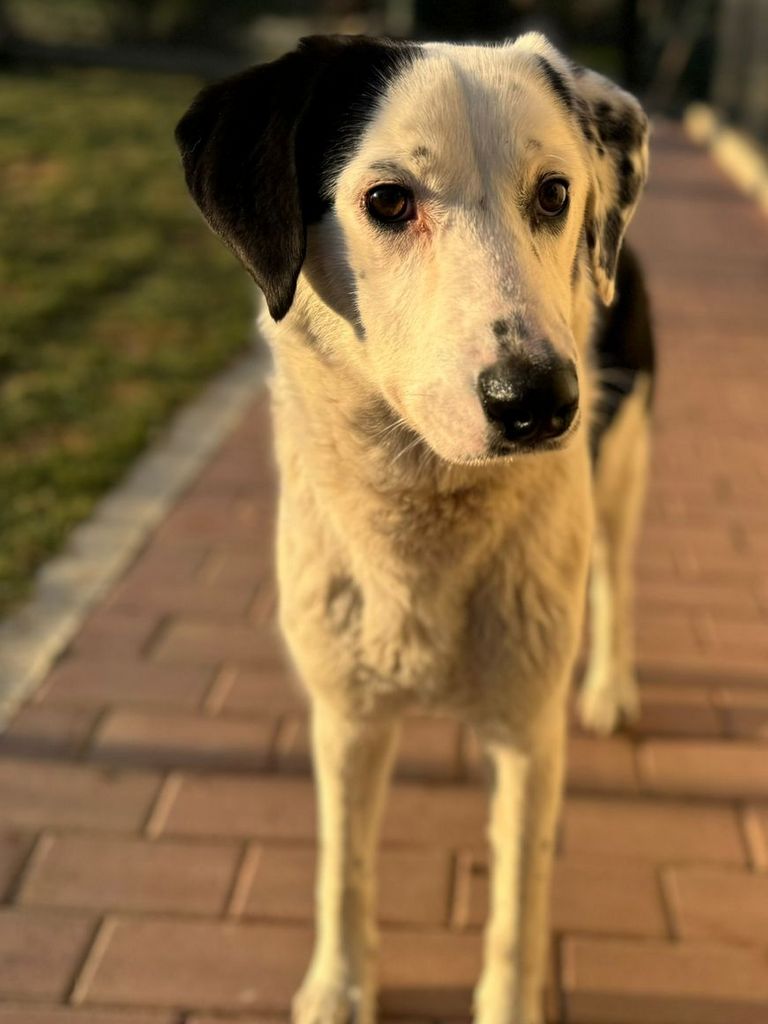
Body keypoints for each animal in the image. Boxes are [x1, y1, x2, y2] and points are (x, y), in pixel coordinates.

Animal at [176, 32, 653, 1024]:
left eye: (556, 193)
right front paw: (340, 988)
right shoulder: (345, 714)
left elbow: (517, 903)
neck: (423, 522)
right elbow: (344, 870)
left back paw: (609, 686)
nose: (541, 402)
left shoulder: (528, 732)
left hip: (627, 457)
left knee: (616, 578)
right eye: (388, 201)